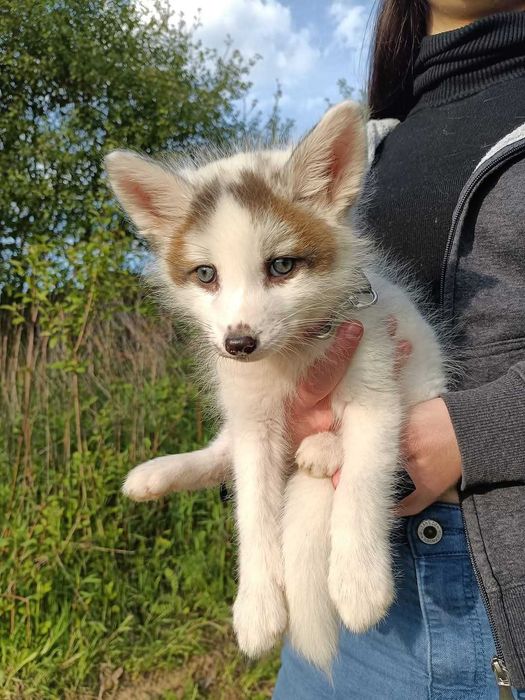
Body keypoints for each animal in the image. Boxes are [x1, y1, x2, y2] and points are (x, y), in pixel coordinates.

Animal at [105, 101, 446, 672]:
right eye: (206, 275)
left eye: (281, 266)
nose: (238, 343)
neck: (293, 357)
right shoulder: (255, 423)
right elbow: (252, 513)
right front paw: (257, 605)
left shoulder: (376, 391)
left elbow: (362, 485)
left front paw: (359, 582)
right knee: (220, 453)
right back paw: (155, 475)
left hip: (423, 377)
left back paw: (324, 450)